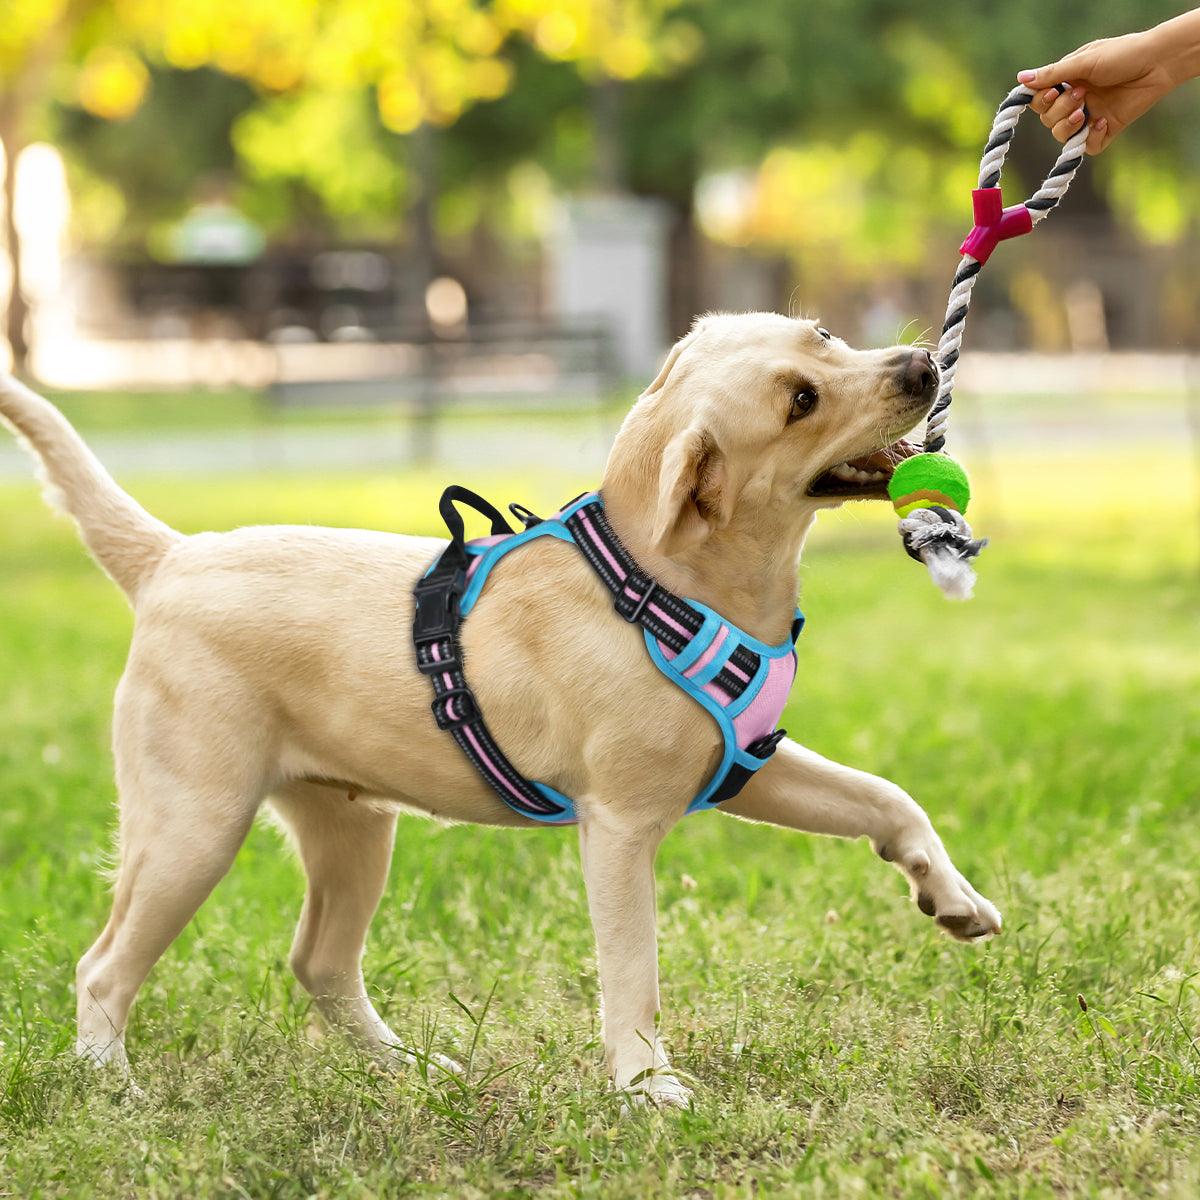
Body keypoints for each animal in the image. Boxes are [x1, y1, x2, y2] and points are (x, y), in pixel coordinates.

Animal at [0, 312, 998, 1104]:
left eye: (821, 335)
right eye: (799, 400)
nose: (922, 365)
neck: (659, 582)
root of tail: (171, 558)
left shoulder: (749, 766)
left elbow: (885, 798)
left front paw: (952, 897)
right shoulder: (620, 828)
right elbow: (634, 971)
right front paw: (646, 1085)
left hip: (352, 829)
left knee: (319, 962)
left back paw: (406, 1070)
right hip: (193, 827)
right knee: (103, 968)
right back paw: (112, 1085)